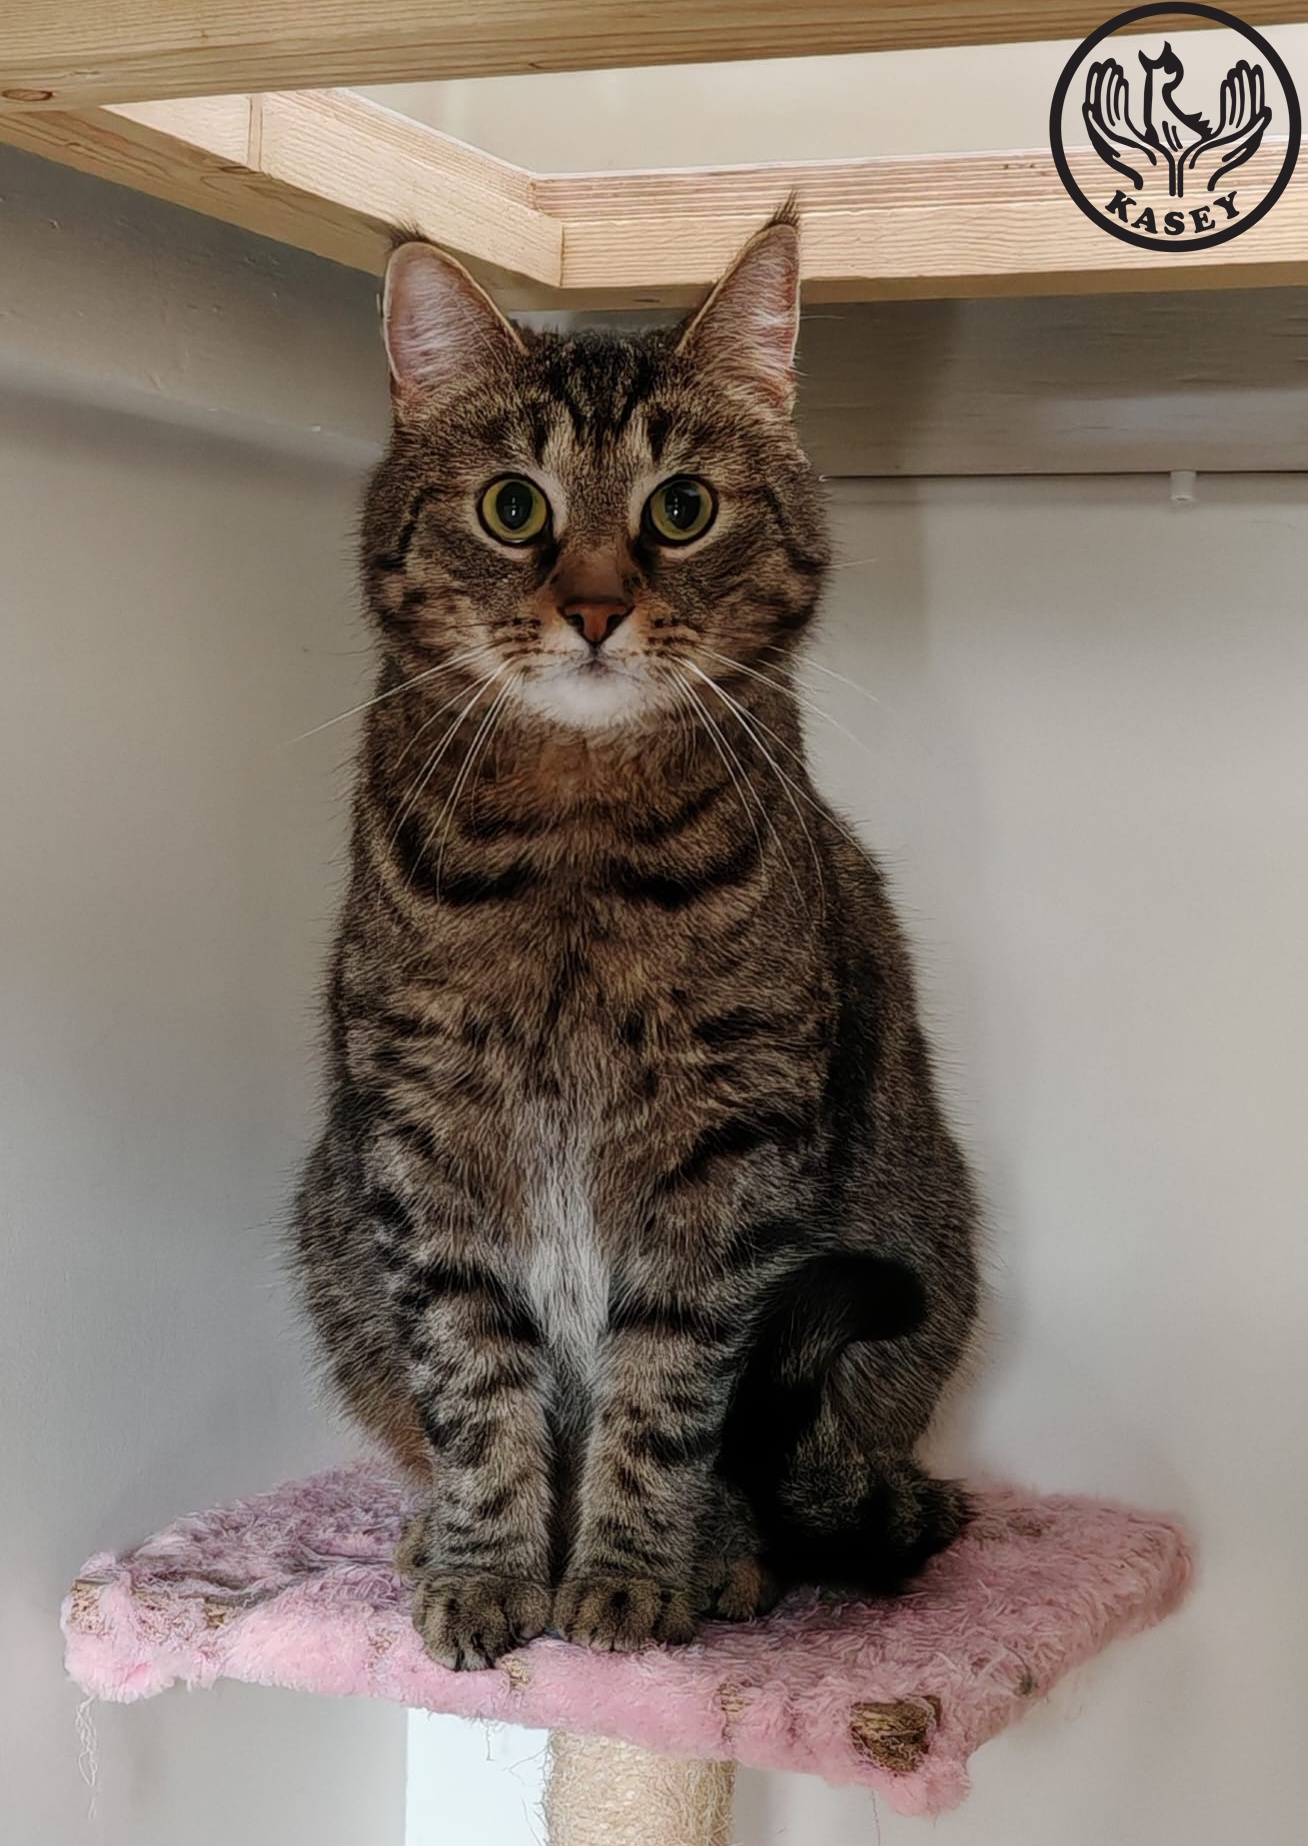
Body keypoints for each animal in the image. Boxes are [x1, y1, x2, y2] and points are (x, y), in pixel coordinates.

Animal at [293, 207, 980, 1672]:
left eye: (681, 508)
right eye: (514, 507)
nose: (598, 608)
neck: (577, 830)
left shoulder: (728, 1144)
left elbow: (668, 1391)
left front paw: (628, 1574)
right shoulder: (427, 1135)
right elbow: (472, 1381)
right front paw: (487, 1567)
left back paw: (734, 1555)